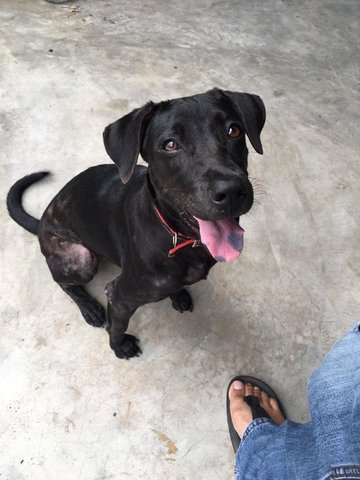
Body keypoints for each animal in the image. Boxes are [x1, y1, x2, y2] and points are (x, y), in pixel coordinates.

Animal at [5, 89, 264, 360]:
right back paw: (89, 307)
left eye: (234, 130)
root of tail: (42, 222)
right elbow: (117, 326)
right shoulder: (118, 295)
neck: (178, 237)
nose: (232, 191)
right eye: (170, 144)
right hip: (81, 258)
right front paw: (119, 347)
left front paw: (178, 294)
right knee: (63, 281)